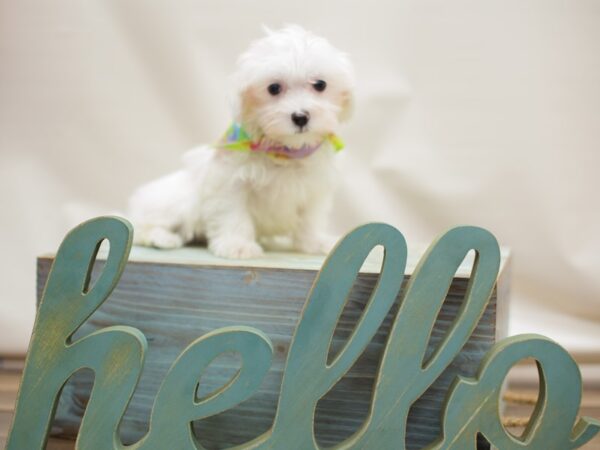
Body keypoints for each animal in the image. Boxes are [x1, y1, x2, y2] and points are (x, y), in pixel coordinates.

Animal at [126, 26, 352, 258]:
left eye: (320, 85)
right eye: (273, 88)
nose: (300, 117)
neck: (284, 151)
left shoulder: (315, 188)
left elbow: (310, 219)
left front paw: (315, 242)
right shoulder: (230, 182)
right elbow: (233, 215)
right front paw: (238, 245)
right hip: (176, 201)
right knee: (142, 225)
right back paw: (161, 237)